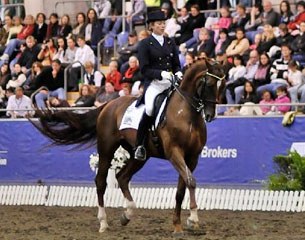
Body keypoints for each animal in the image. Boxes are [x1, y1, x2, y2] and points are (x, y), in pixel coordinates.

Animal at [32, 58, 223, 236]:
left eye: (223, 85)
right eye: (210, 84)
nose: (210, 115)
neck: (186, 113)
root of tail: (108, 105)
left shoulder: (192, 157)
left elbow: (181, 189)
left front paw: (178, 225)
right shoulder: (174, 152)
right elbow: (190, 181)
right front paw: (193, 219)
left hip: (140, 156)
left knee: (122, 177)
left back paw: (127, 215)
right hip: (106, 149)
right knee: (101, 182)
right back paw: (103, 223)